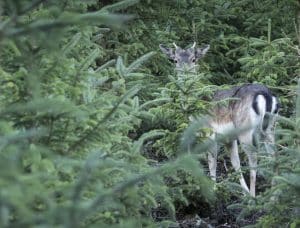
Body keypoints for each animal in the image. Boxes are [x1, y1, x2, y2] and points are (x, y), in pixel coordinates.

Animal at [159, 42, 278, 196]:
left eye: (193, 59)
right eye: (175, 60)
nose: (185, 73)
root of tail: (265, 95)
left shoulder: (209, 132)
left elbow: (212, 162)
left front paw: (214, 188)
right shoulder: (228, 138)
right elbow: (236, 163)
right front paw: (243, 192)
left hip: (246, 131)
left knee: (253, 161)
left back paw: (254, 196)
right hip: (270, 128)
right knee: (274, 156)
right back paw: (273, 194)